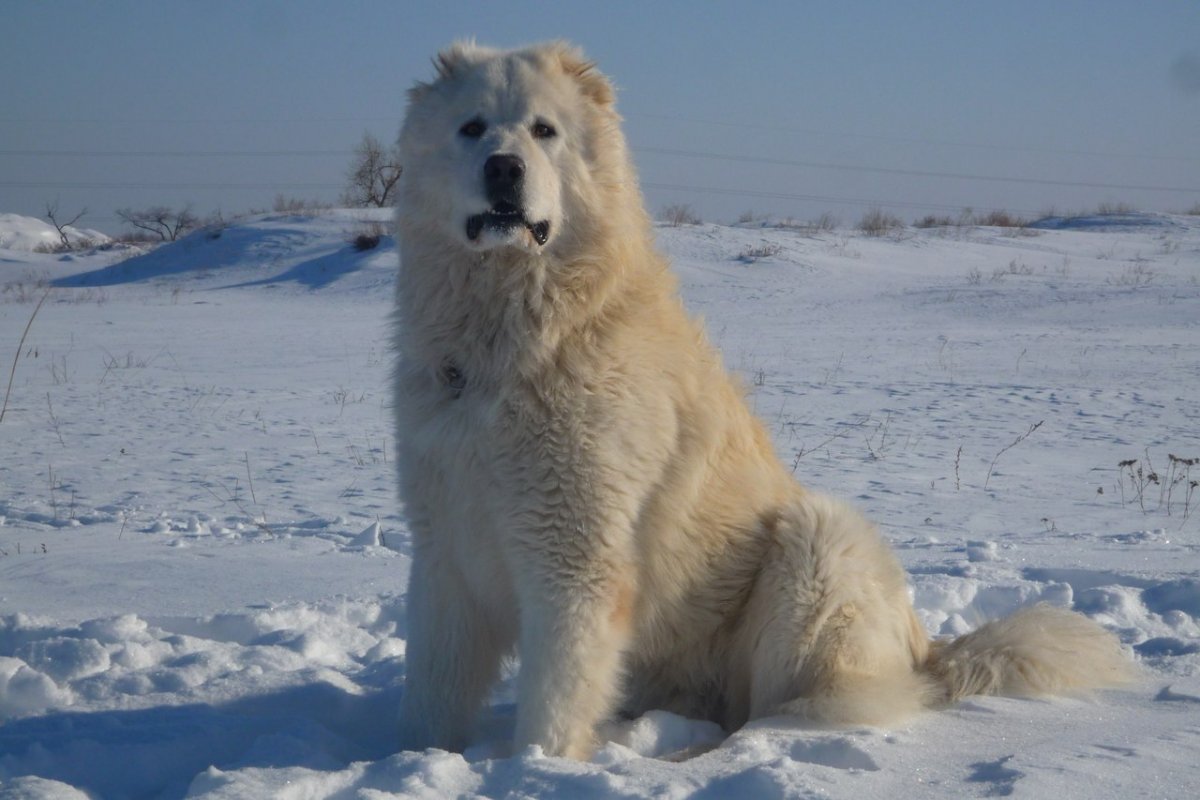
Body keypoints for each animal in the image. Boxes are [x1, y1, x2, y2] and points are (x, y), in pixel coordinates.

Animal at [388, 40, 1128, 762]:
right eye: (472, 128)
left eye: (545, 130)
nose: (504, 168)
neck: (507, 340)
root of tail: (929, 653)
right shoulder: (445, 555)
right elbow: (432, 693)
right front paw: (415, 759)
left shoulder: (575, 562)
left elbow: (554, 703)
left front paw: (536, 769)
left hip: (817, 544)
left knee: (780, 714)